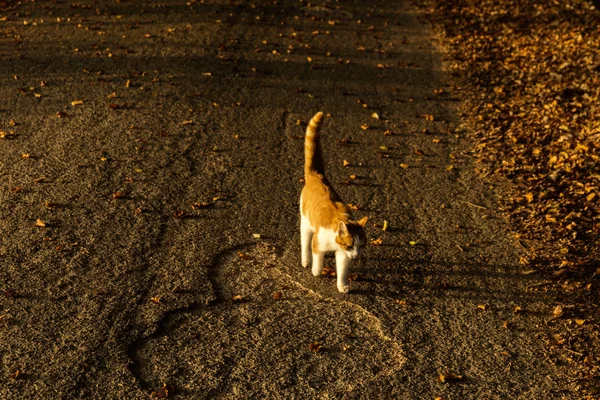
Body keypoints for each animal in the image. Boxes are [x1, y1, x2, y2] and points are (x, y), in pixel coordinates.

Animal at [298, 111, 368, 292]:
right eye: (350, 245)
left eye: (361, 246)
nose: (356, 255)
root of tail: (317, 175)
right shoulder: (318, 244)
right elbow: (317, 259)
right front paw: (316, 271)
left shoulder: (343, 255)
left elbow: (342, 271)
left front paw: (342, 286)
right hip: (306, 223)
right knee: (305, 242)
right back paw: (305, 260)